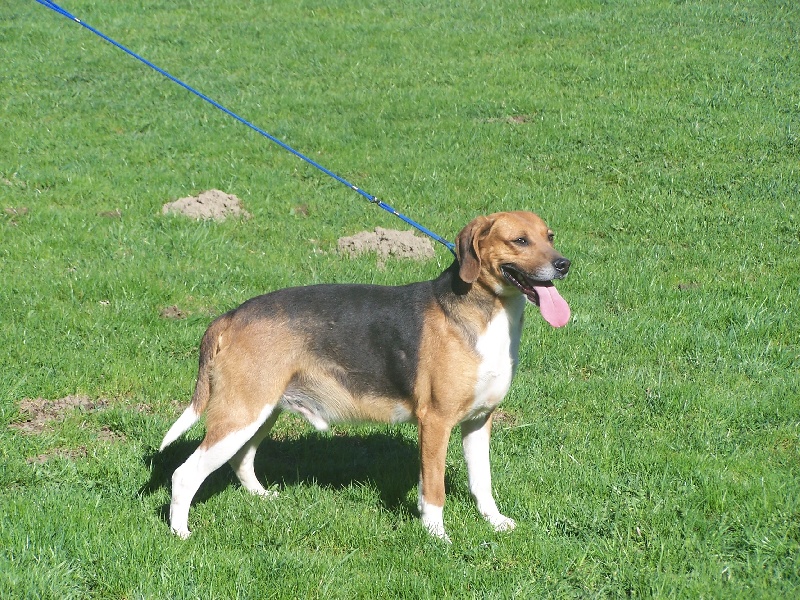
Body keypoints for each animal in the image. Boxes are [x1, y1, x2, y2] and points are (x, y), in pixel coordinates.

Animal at [159, 210, 568, 540]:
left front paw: (494, 522)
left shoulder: (479, 421)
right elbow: (433, 490)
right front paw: (437, 536)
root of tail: (231, 315)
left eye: (549, 236)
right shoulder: (435, 423)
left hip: (262, 411)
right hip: (241, 414)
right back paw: (180, 532)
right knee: (185, 474)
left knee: (241, 459)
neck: (486, 313)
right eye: (520, 240)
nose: (563, 264)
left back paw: (262, 497)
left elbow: (482, 481)